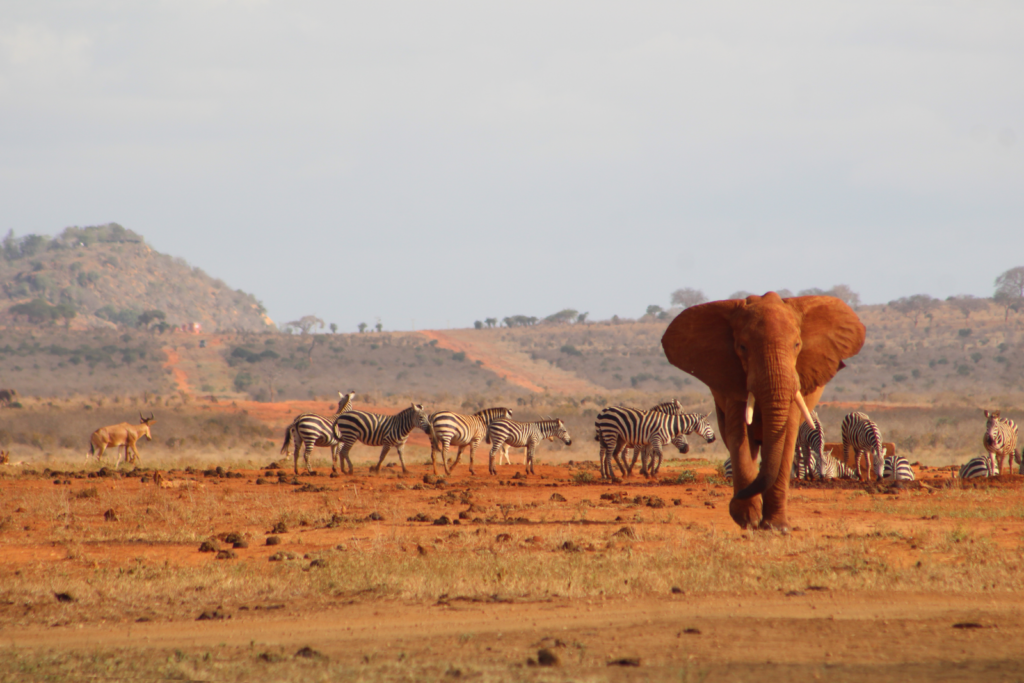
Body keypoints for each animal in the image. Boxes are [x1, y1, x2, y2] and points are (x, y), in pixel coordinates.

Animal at [661, 292, 865, 531]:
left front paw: (775, 527)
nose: (733, 499)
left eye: (797, 345)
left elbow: (786, 439)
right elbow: (739, 436)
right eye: (742, 347)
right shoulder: (732, 379)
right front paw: (747, 520)